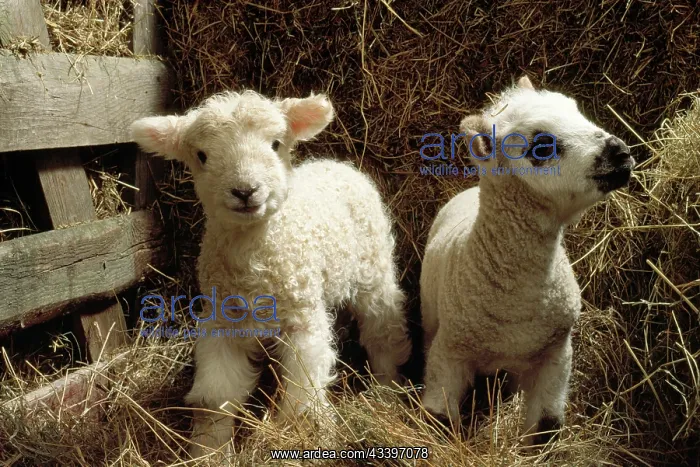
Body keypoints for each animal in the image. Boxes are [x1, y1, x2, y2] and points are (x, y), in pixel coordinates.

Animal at [131, 90, 411, 456]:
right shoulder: (222, 323)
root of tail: (336, 164)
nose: (245, 191)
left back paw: (386, 392)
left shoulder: (302, 319)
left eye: (276, 144)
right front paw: (209, 451)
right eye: (202, 155)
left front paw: (301, 435)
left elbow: (303, 391)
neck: (256, 261)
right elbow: (215, 397)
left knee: (383, 332)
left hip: (373, 271)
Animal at [420, 76, 635, 445]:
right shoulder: (450, 351)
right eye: (542, 146)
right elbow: (438, 421)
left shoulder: (556, 354)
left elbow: (546, 428)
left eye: (576, 110)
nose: (619, 152)